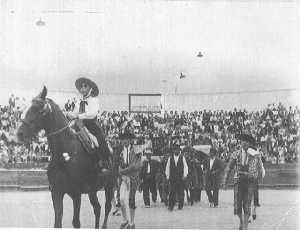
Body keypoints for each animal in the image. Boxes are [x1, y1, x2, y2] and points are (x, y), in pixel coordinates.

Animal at [16, 86, 117, 228]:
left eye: (38, 108)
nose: (20, 133)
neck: (65, 154)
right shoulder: (56, 192)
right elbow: (57, 222)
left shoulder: (76, 194)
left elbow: (76, 222)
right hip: (92, 190)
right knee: (97, 208)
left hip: (109, 186)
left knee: (107, 207)